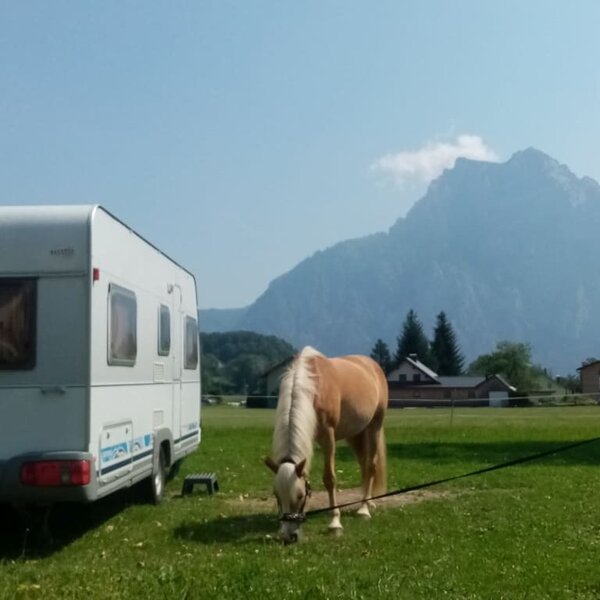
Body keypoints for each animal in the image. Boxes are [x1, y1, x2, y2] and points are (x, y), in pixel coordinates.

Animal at [264, 344, 386, 540]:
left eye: (300, 495)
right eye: (276, 495)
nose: (288, 536)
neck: (313, 388)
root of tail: (372, 365)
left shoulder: (328, 437)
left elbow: (329, 478)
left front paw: (335, 522)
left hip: (375, 425)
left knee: (371, 465)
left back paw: (364, 509)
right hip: (355, 433)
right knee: (364, 464)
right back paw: (368, 502)